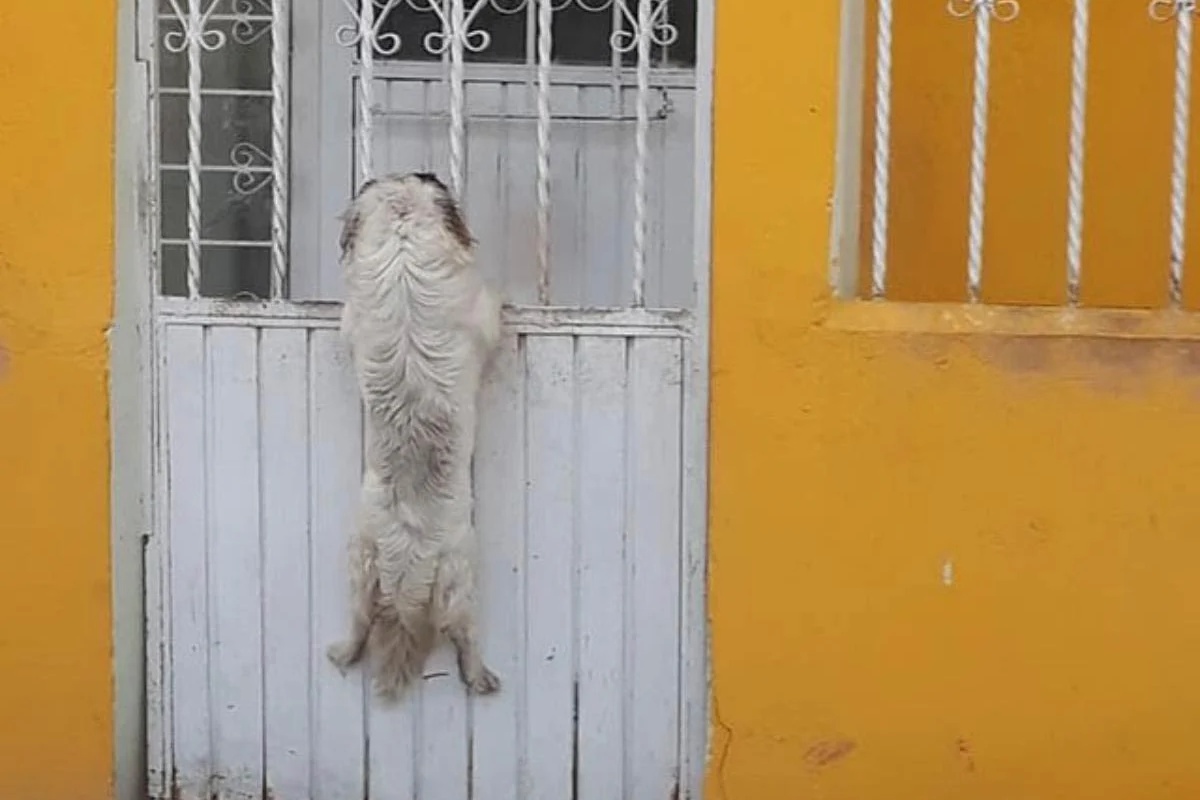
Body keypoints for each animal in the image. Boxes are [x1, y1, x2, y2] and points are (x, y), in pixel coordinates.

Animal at [324, 170, 501, 700]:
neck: (402, 237)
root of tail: (405, 563)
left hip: (359, 560)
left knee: (359, 622)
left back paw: (342, 653)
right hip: (460, 573)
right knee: (464, 634)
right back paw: (480, 676)